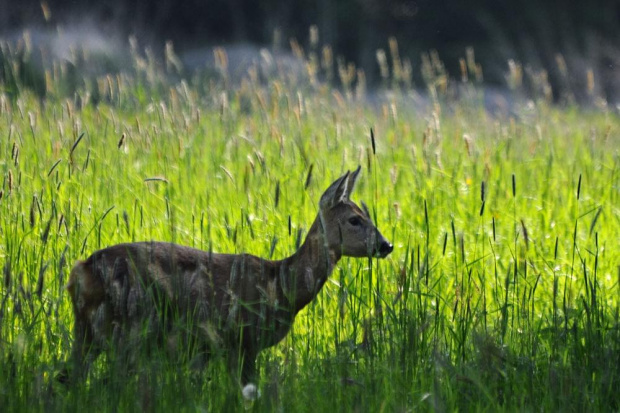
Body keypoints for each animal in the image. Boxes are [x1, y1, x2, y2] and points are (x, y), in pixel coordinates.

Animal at [64, 163, 392, 386]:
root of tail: (82, 270)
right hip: (129, 327)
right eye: (354, 220)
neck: (281, 286)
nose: (386, 245)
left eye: (367, 215)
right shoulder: (243, 339)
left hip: (89, 331)